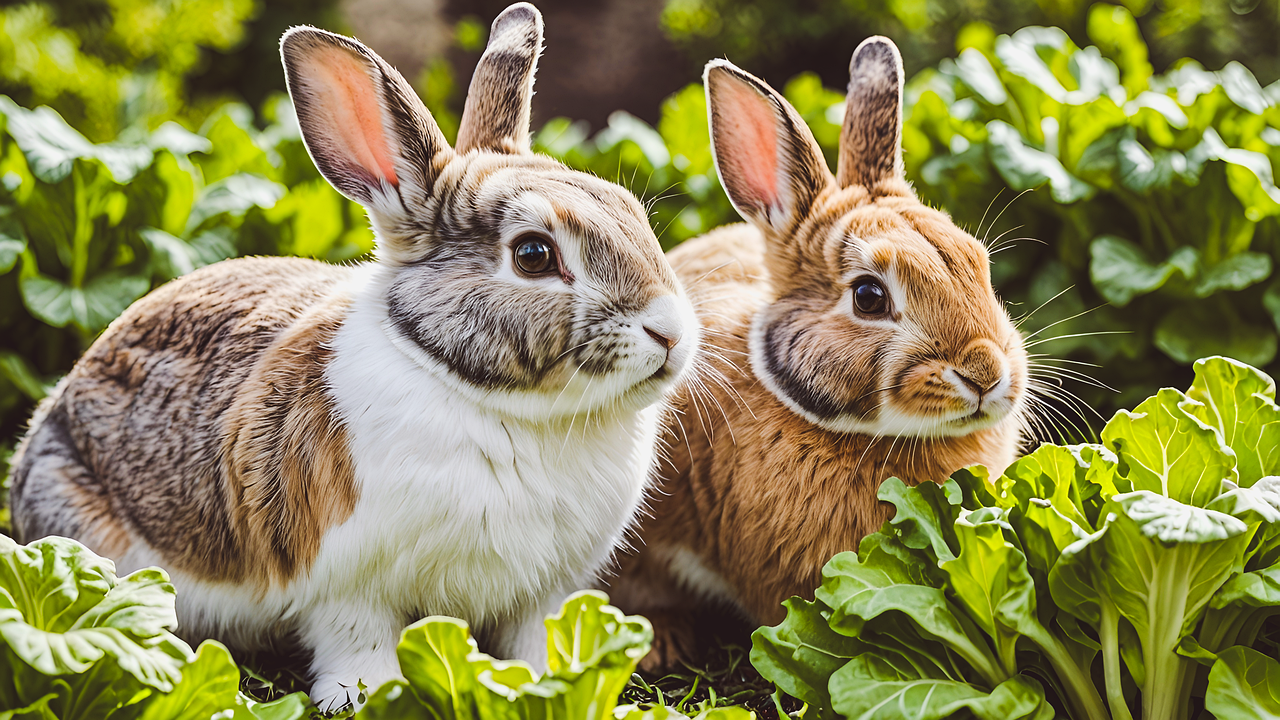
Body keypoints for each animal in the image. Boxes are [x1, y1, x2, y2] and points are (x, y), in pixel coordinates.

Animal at [8, 3, 699, 710]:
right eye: (534, 255)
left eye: (631, 211)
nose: (671, 333)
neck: (504, 406)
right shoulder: (348, 587)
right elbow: (357, 644)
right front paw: (368, 697)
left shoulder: (544, 591)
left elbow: (538, 640)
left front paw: (550, 682)